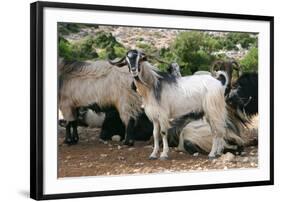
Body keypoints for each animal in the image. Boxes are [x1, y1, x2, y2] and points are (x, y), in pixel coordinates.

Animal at [110, 50, 240, 159]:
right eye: (127, 60)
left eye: (140, 59)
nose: (133, 70)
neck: (152, 86)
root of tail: (219, 83)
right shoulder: (154, 116)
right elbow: (155, 134)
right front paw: (153, 154)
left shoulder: (163, 114)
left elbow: (163, 132)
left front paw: (164, 154)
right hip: (209, 112)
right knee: (216, 130)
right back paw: (216, 153)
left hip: (213, 109)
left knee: (218, 130)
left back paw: (213, 154)